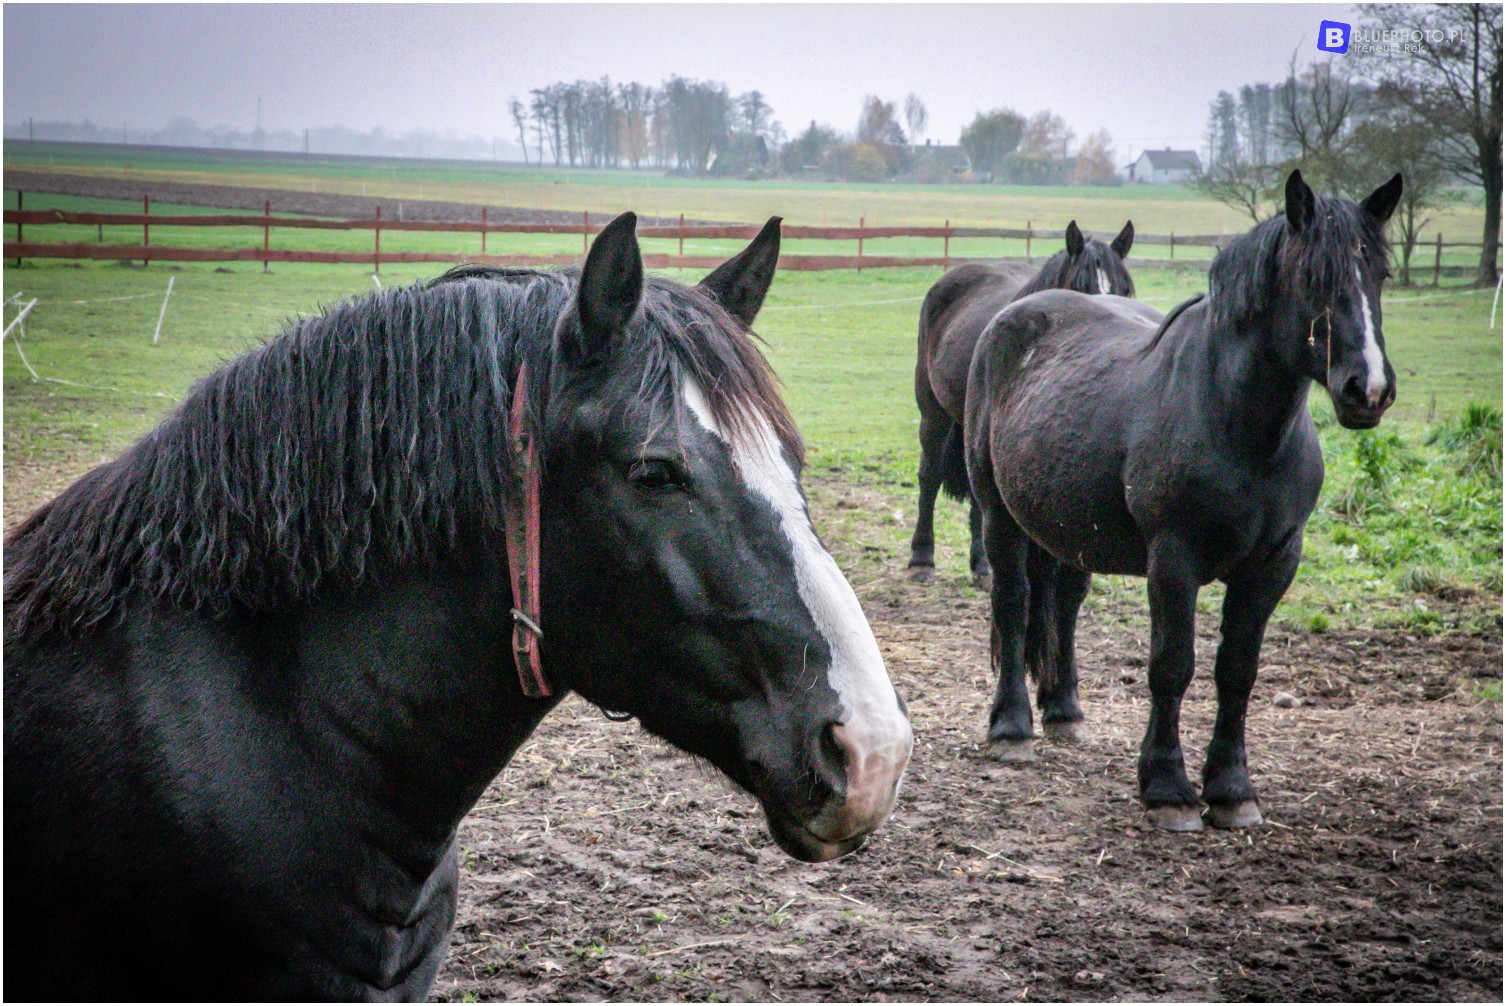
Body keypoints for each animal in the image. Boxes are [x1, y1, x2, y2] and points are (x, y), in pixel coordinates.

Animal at [897, 219, 1132, 590]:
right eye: (1081, 286)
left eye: (1125, 288)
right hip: (933, 411)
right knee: (930, 475)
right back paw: (922, 558)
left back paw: (981, 566)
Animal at [963, 173, 1397, 831]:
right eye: (1311, 277)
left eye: (1379, 273)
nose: (1368, 390)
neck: (1237, 425)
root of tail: (1008, 318)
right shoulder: (1174, 560)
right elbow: (1172, 664)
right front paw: (1168, 787)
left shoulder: (1274, 564)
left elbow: (1237, 672)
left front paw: (1232, 789)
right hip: (1000, 520)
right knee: (1014, 604)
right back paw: (1013, 727)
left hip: (1061, 526)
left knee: (1061, 606)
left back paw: (1064, 711)